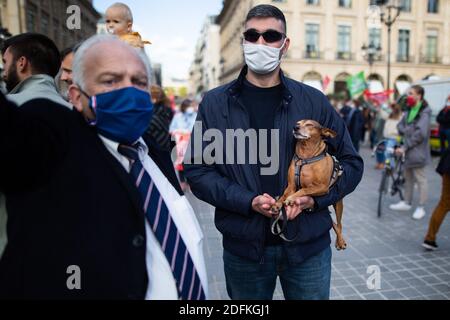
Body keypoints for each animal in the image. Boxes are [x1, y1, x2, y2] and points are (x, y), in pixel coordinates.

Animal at [270, 119, 348, 250]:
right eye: (298, 123)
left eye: (310, 125)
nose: (295, 127)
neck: (305, 157)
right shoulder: (291, 186)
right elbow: (284, 195)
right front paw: (277, 204)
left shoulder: (322, 187)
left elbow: (303, 190)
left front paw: (291, 199)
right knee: (333, 223)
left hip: (338, 203)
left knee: (339, 224)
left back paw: (340, 241)